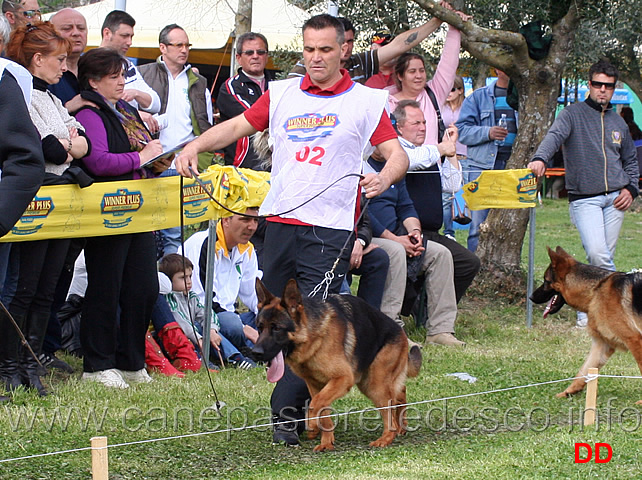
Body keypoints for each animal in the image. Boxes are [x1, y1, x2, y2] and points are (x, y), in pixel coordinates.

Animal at [250, 280, 420, 452]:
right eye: (259, 327)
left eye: (277, 328)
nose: (255, 353)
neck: (313, 338)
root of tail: (400, 330)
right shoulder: (315, 385)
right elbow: (322, 408)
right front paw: (326, 442)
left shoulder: (343, 378)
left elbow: (315, 404)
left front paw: (312, 425)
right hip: (369, 382)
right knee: (400, 392)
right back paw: (401, 426)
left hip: (374, 385)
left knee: (390, 412)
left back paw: (386, 438)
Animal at [528, 248, 640, 402]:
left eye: (546, 281)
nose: (531, 297)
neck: (596, 289)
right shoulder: (602, 345)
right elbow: (583, 371)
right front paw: (568, 392)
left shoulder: (634, 340)